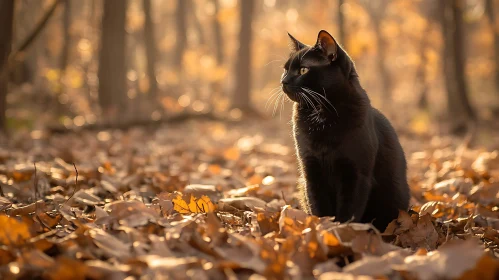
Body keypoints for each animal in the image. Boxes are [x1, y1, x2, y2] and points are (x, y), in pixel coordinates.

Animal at [284, 30, 412, 232]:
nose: (283, 81)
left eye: (303, 70)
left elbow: (349, 210)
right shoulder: (311, 170)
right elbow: (318, 205)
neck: (322, 115)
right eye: (285, 69)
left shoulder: (356, 173)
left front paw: (341, 232)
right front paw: (321, 228)